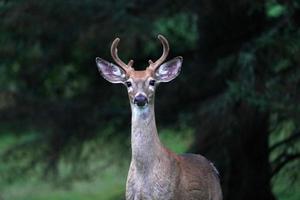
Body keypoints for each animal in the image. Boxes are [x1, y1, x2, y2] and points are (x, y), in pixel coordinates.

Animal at [96, 34, 223, 200]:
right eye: (128, 83)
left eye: (152, 81)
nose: (140, 98)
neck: (144, 175)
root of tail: (213, 167)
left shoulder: (168, 196)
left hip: (217, 195)